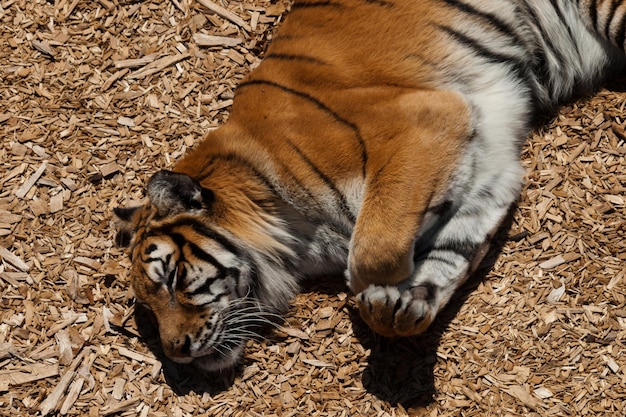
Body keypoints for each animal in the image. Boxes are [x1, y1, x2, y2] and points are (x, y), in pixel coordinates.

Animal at [114, 0, 624, 370]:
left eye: (172, 279)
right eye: (147, 306)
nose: (177, 351)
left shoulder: (425, 120)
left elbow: (375, 246)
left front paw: (372, 294)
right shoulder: (489, 173)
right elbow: (452, 251)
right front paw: (404, 306)